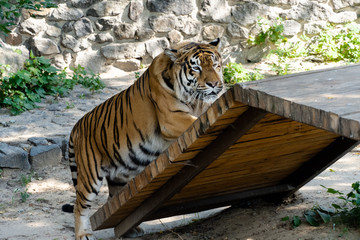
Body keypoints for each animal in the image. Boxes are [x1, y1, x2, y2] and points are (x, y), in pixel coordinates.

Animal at [62, 38, 225, 239]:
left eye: (216, 65)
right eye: (196, 68)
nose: (214, 84)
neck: (196, 101)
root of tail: (76, 126)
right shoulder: (171, 119)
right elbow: (194, 121)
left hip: (120, 177)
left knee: (115, 205)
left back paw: (132, 230)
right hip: (90, 174)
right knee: (80, 205)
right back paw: (83, 234)